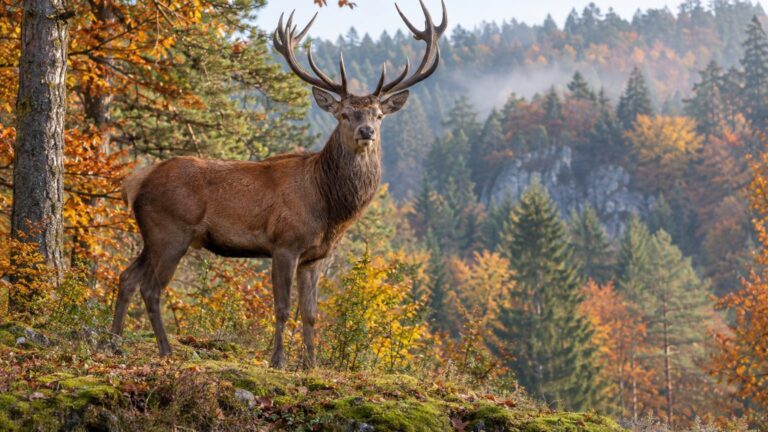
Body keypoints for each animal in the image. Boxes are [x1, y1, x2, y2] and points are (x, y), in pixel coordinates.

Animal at [110, 0, 446, 368]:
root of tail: (136, 182)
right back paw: (165, 350)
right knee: (151, 288)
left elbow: (311, 313)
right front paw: (278, 360)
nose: (366, 132)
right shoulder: (284, 243)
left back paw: (112, 344)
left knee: (126, 277)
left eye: (379, 115)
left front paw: (312, 364)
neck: (329, 207)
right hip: (171, 232)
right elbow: (283, 308)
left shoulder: (315, 256)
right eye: (344, 114)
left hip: (151, 236)